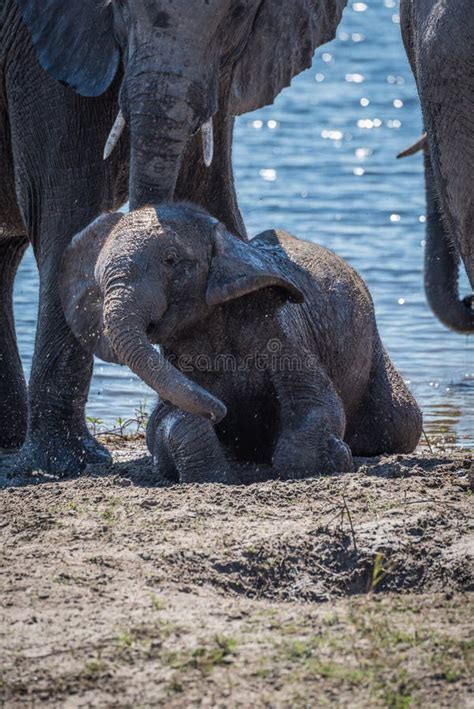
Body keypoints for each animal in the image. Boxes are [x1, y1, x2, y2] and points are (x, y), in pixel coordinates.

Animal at [0, 1, 348, 476]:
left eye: (239, 13)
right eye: (117, 7)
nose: (219, 410)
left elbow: (208, 190)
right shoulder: (42, 56)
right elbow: (62, 207)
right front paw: (63, 465)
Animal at [60, 202, 422, 484]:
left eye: (171, 259)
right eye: (98, 279)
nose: (220, 411)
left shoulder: (281, 326)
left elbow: (315, 400)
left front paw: (336, 456)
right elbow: (164, 421)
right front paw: (213, 474)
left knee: (401, 423)